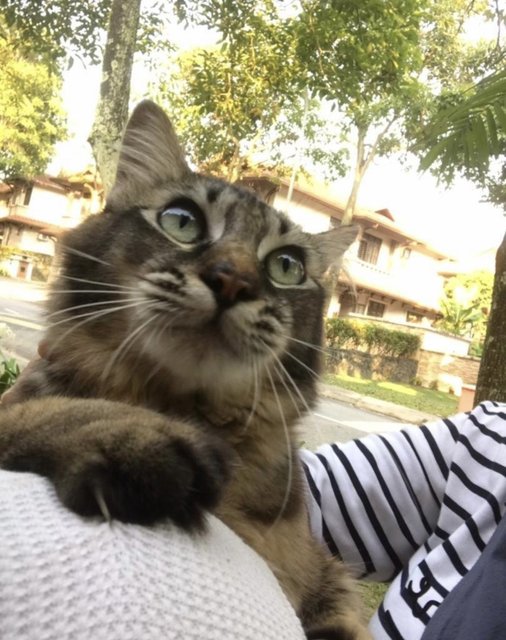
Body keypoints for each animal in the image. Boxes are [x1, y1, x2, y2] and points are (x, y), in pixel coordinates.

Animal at [0, 100, 368, 640]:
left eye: (287, 266)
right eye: (181, 221)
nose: (233, 280)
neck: (175, 402)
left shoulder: (322, 577)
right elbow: (31, 414)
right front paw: (120, 432)